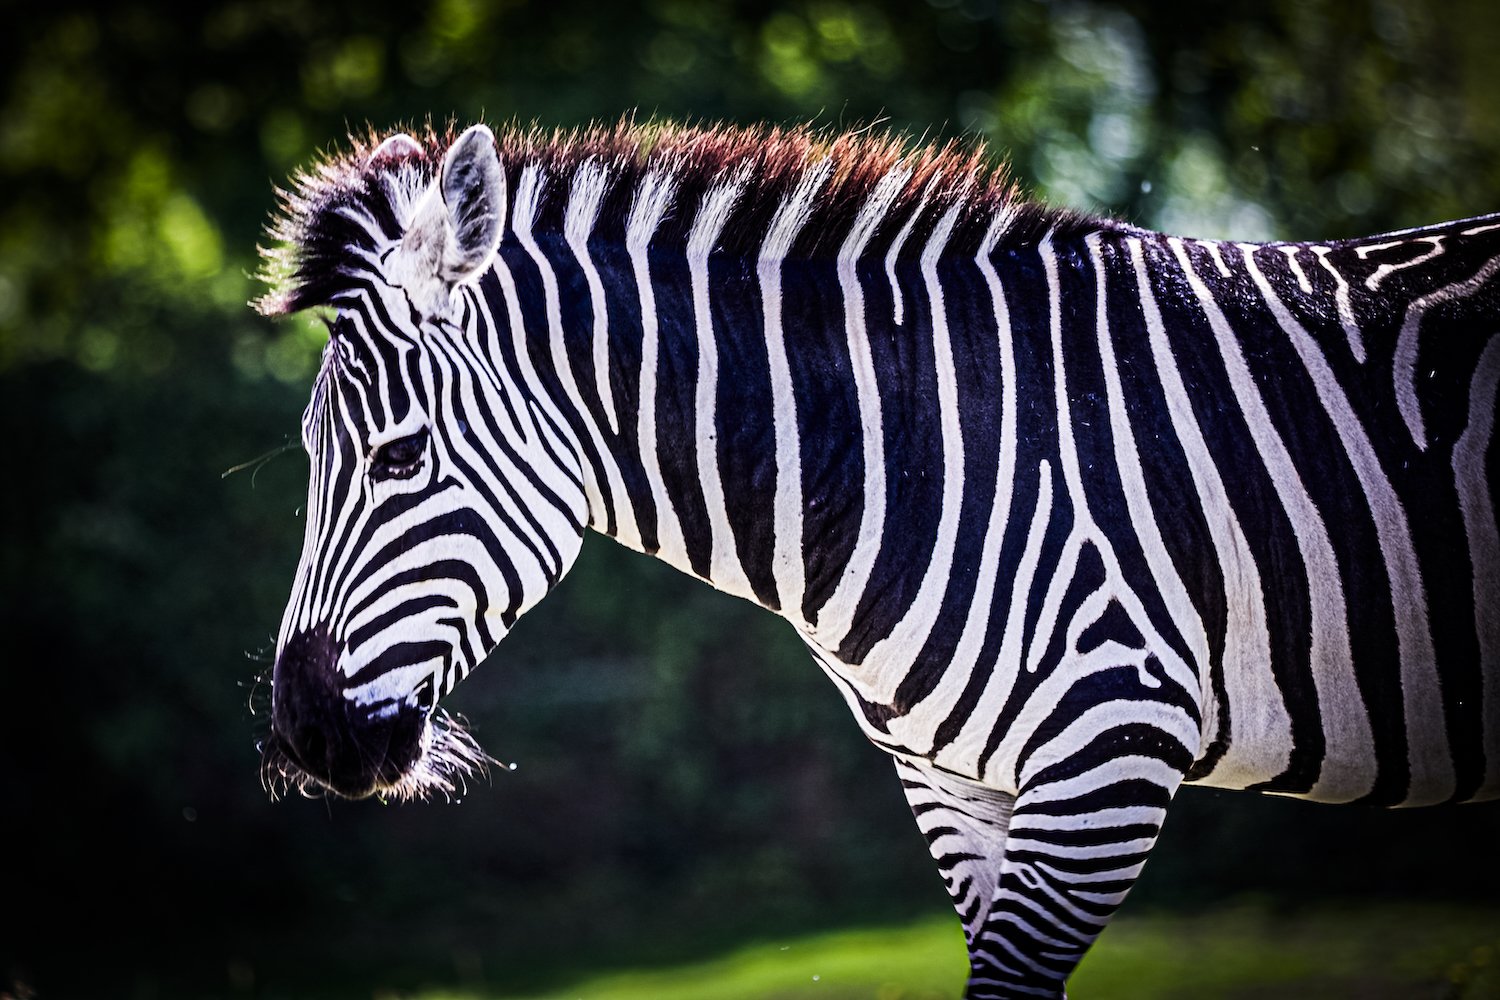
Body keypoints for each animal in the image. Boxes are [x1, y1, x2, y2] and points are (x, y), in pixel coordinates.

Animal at [255, 119, 1499, 998]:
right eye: (312, 457)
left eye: (401, 455)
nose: (305, 734)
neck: (933, 452)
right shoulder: (956, 784)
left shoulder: (1108, 756)